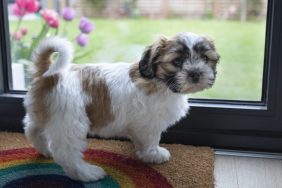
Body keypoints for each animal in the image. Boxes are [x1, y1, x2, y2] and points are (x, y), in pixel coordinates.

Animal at [22, 31, 220, 181]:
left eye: (205, 58)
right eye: (177, 62)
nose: (195, 73)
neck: (159, 82)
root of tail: (48, 74)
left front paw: (143, 152)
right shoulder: (149, 124)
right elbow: (151, 140)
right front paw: (154, 154)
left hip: (45, 114)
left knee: (32, 129)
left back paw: (45, 149)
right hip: (70, 122)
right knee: (66, 153)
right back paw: (87, 173)